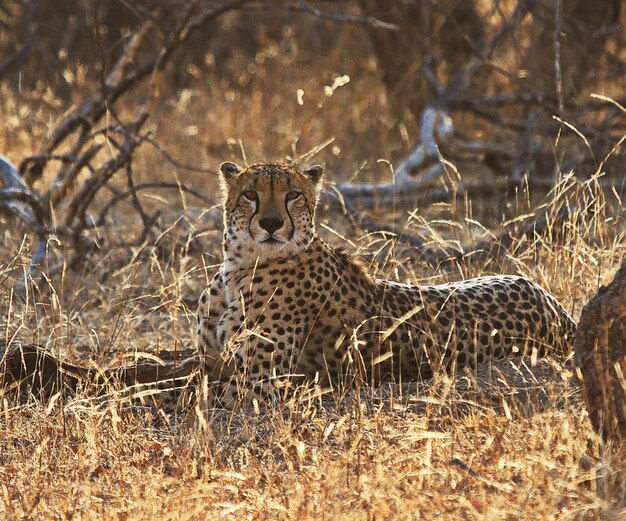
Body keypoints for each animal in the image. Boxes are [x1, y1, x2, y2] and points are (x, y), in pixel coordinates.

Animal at [196, 160, 576, 404]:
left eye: (293, 195)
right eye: (250, 194)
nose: (272, 224)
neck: (239, 266)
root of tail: (559, 310)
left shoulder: (258, 384)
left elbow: (195, 401)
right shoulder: (209, 363)